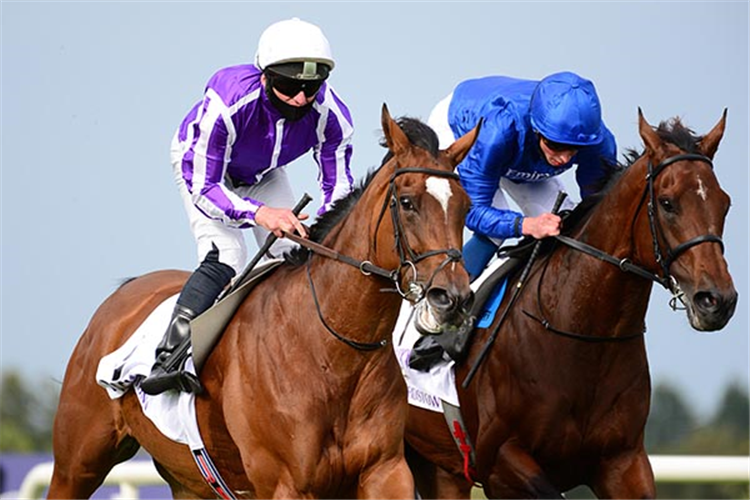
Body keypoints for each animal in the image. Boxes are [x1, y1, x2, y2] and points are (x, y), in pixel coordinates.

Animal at [48, 103, 482, 498]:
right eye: (407, 202)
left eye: (465, 206)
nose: (453, 298)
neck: (331, 352)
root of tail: (124, 293)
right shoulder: (284, 484)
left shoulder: (386, 470)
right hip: (76, 465)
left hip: (190, 483)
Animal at [406, 110, 740, 500]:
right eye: (668, 202)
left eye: (725, 203)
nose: (717, 300)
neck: (581, 336)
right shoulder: (500, 462)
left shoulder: (623, 460)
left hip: (441, 468)